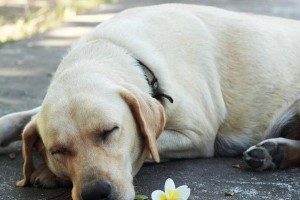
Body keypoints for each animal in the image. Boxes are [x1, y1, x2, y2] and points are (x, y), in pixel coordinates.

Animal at [0, 4, 300, 200]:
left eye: (110, 131)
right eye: (58, 150)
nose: (96, 193)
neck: (115, 49)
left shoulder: (198, 136)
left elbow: (146, 144)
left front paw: (48, 172)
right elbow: (18, 119)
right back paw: (274, 152)